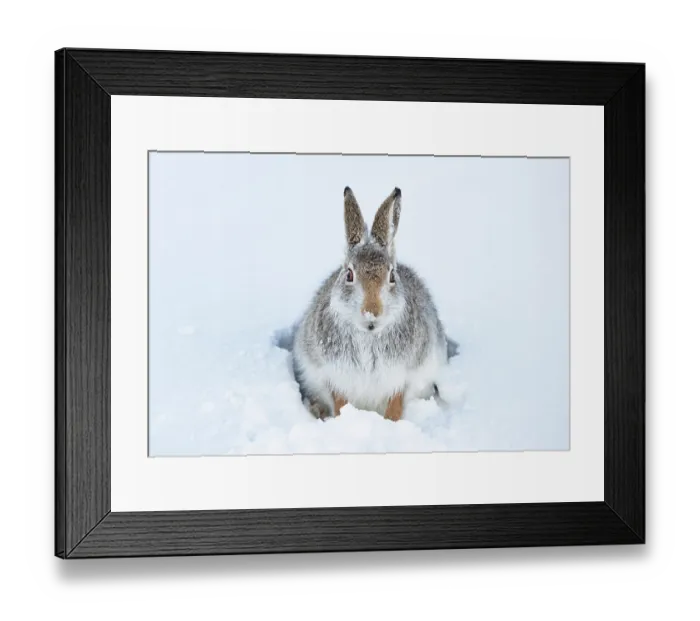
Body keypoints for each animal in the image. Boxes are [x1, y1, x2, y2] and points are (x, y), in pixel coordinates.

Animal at [292, 186, 448, 422]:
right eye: (349, 274)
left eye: (392, 276)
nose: (372, 312)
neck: (368, 334)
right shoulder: (330, 374)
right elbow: (339, 401)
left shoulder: (404, 375)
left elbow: (396, 402)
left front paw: (391, 422)